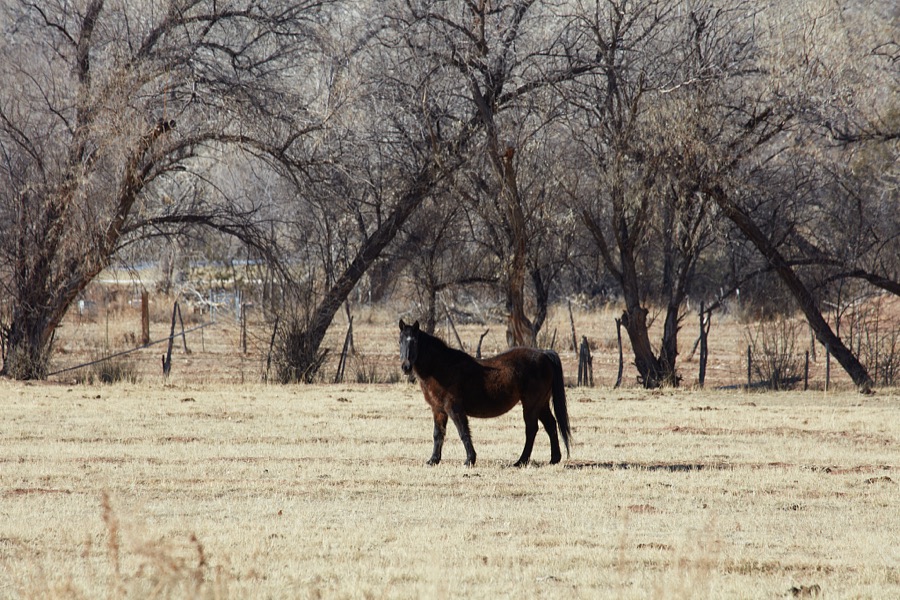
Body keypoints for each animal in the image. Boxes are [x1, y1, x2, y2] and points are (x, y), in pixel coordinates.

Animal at [399, 319, 571, 467]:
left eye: (414, 341)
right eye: (400, 341)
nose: (406, 367)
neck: (442, 367)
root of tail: (544, 354)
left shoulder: (454, 408)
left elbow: (463, 432)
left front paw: (470, 460)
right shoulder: (438, 409)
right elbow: (438, 434)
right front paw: (433, 460)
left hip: (531, 405)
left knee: (531, 430)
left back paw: (520, 461)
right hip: (541, 404)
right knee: (550, 425)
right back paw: (554, 459)